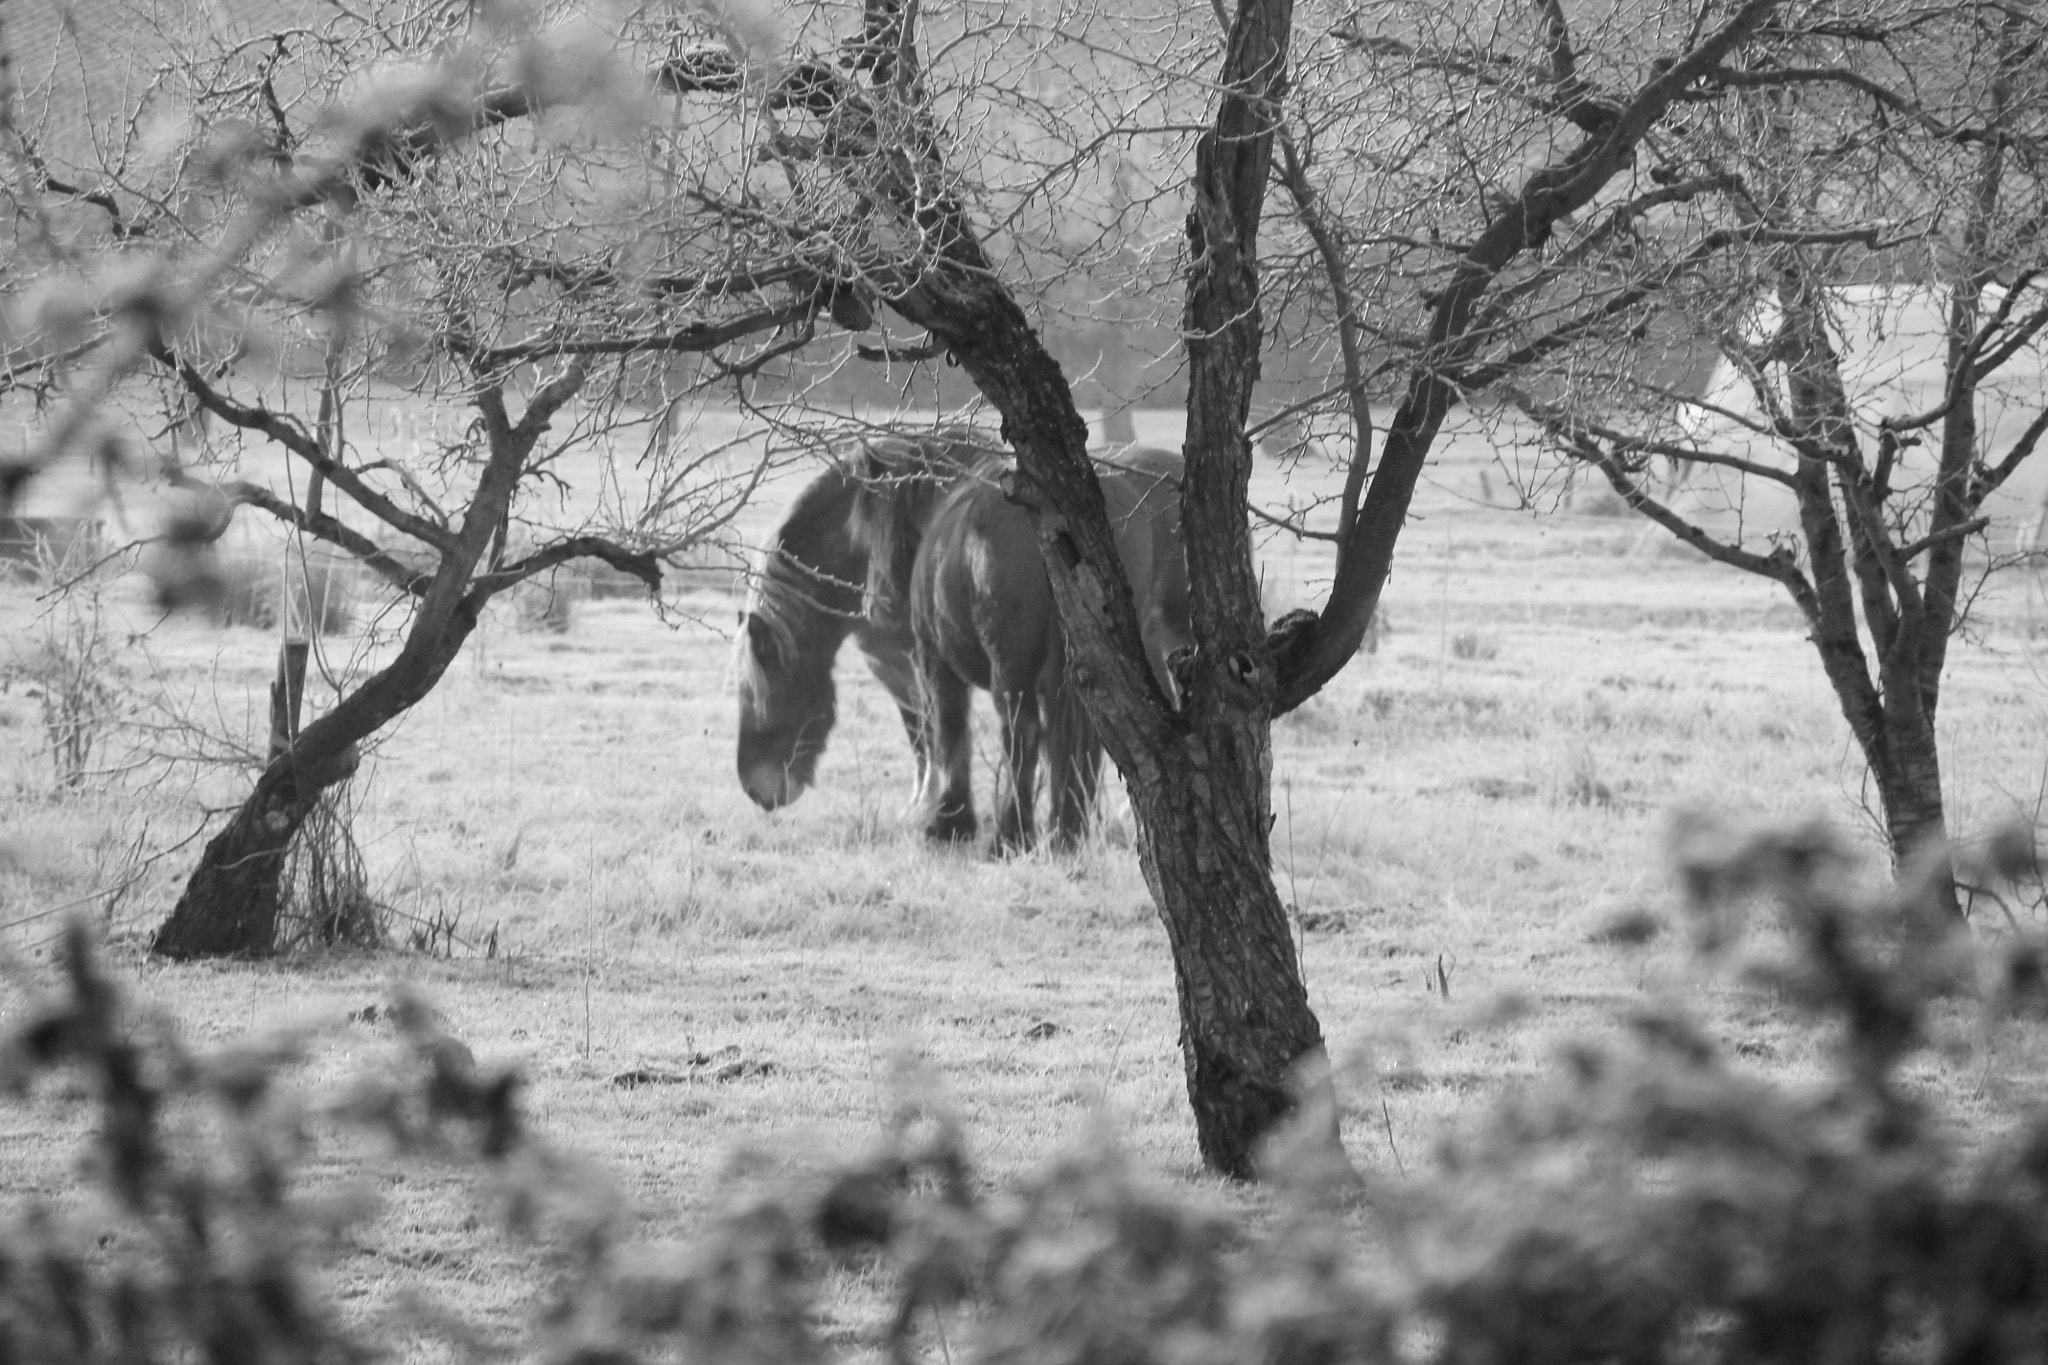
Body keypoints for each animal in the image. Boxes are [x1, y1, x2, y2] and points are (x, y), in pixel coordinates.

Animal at [734, 429, 991, 812]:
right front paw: (919, 803)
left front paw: (928, 806)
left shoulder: (916, 663)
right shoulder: (890, 664)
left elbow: (932, 732)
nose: (758, 792)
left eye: (757, 695)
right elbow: (918, 733)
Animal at [853, 442, 1191, 853]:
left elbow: (951, 731)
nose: (874, 604)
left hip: (1012, 667)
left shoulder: (935, 660)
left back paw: (1010, 834)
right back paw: (1067, 830)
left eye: (874, 516)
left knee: (1021, 732)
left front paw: (950, 823)